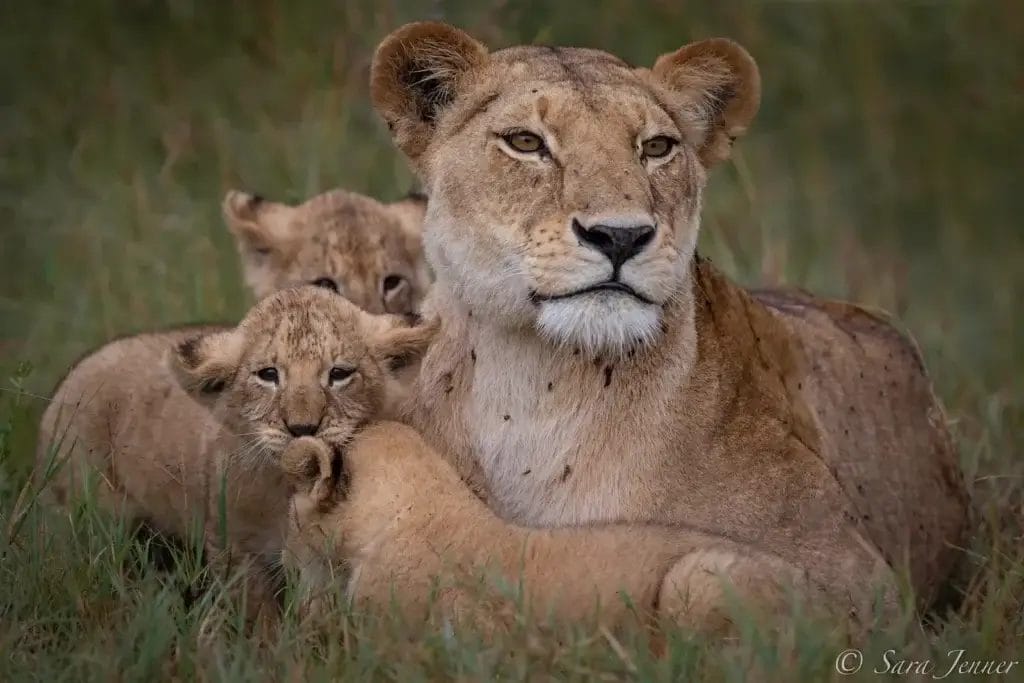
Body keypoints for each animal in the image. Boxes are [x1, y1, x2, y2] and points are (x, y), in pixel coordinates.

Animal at [36, 286, 435, 613]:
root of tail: (70, 377)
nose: (302, 428)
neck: (290, 485)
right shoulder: (237, 551)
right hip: (94, 523)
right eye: (268, 375)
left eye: (339, 374)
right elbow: (258, 620)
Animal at [356, 21, 967, 622]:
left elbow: (693, 581)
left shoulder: (865, 583)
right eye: (526, 142)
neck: (533, 390)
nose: (620, 236)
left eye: (656, 147)